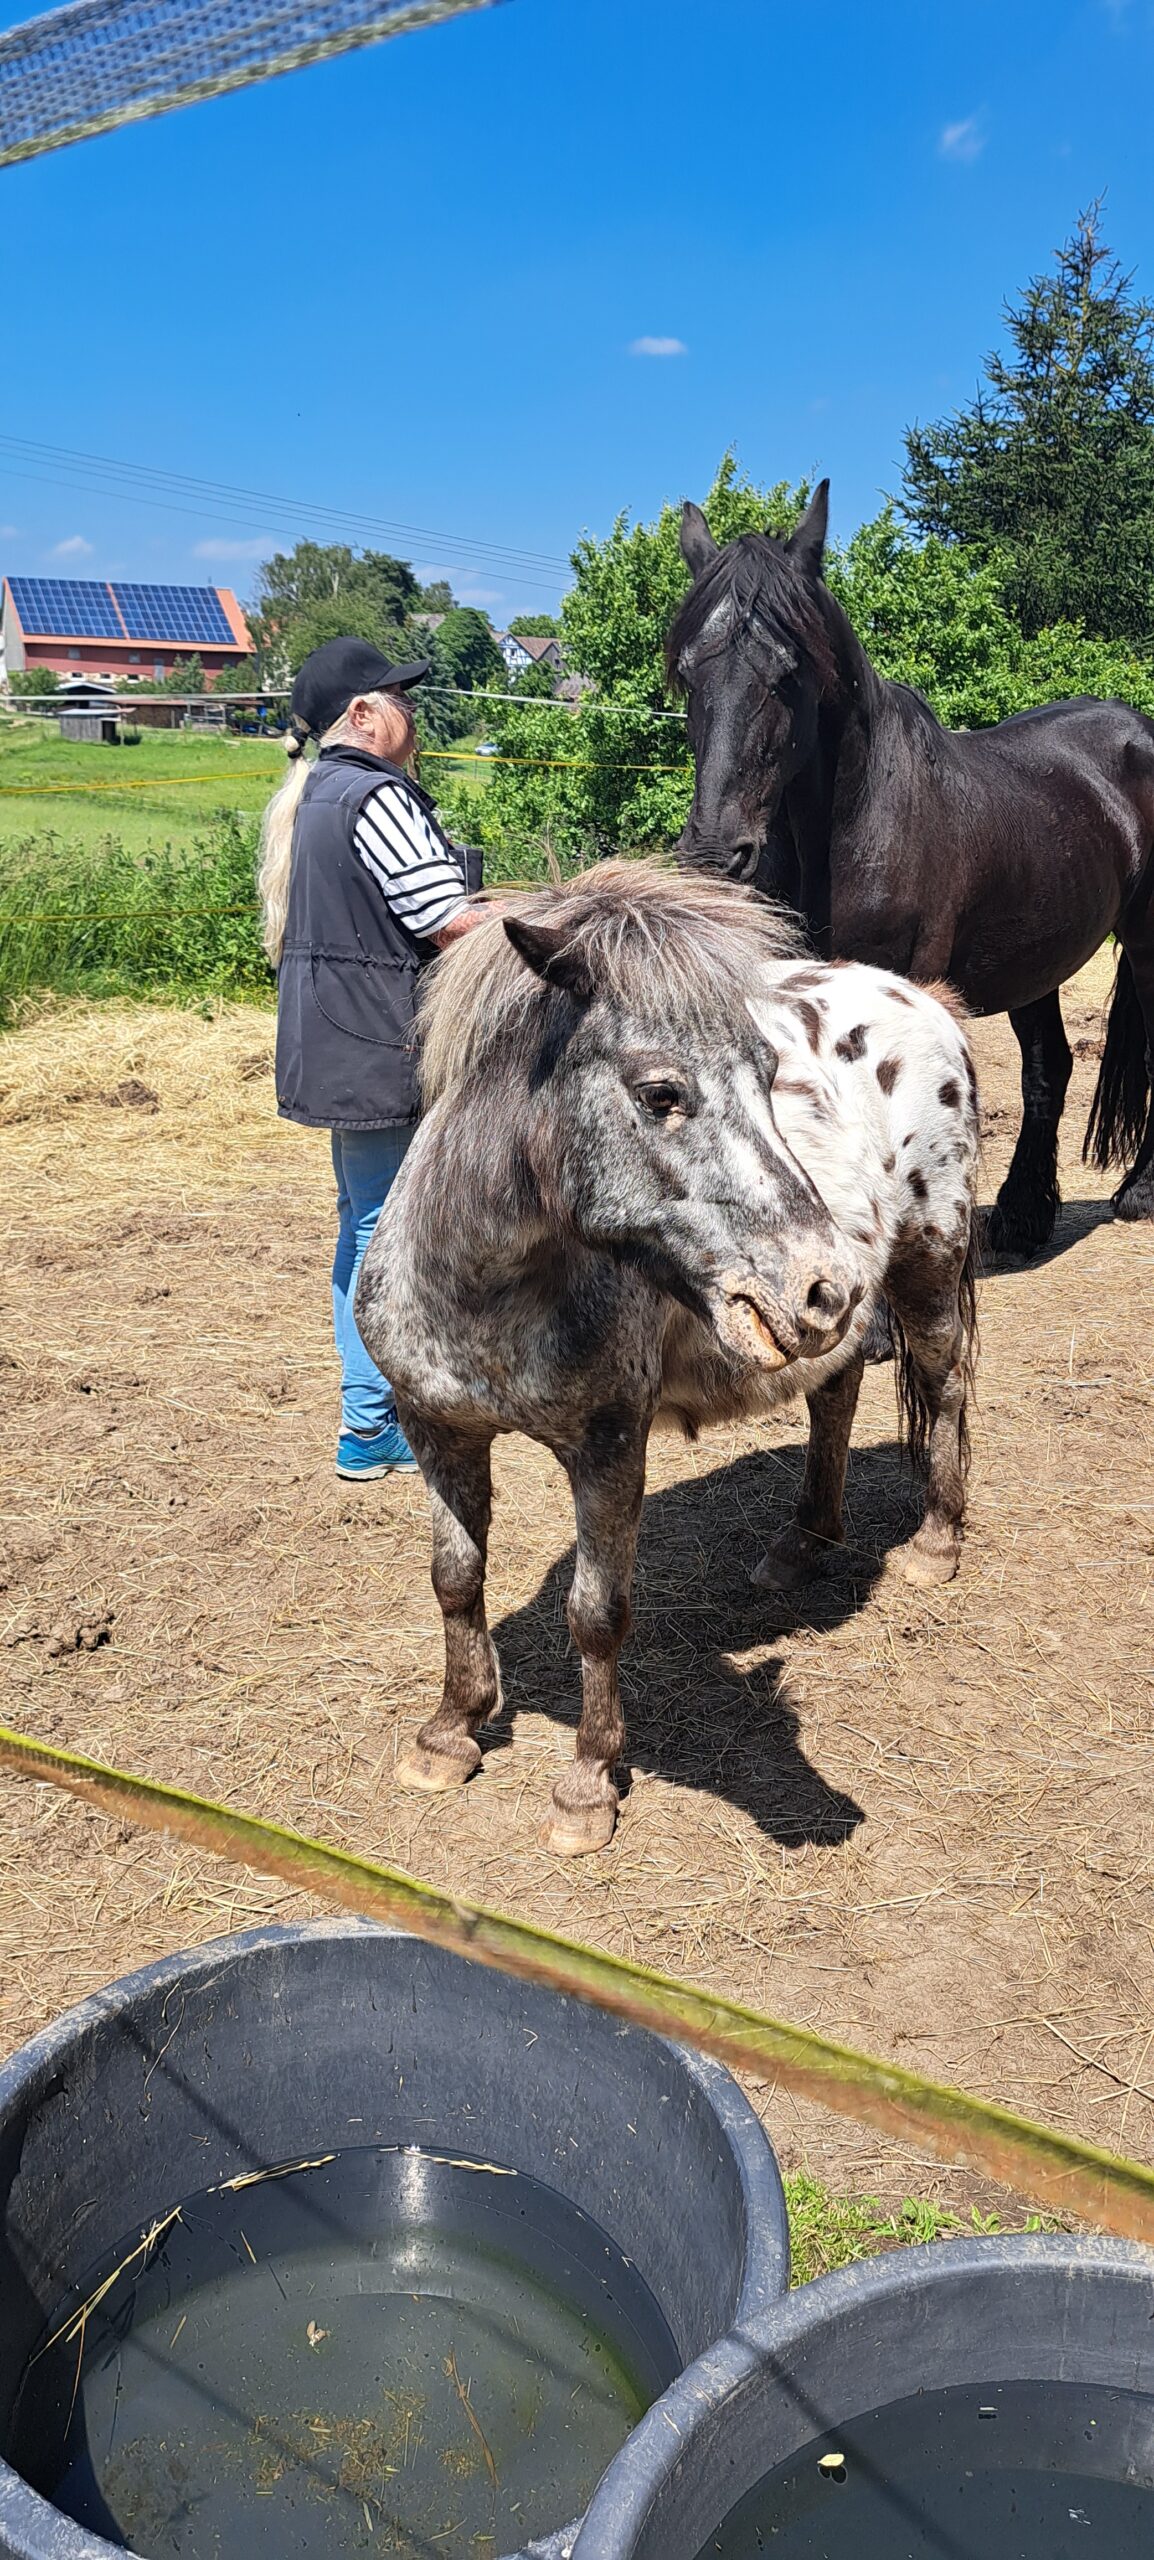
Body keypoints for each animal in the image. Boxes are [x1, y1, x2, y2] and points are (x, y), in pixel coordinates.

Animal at [356, 864, 980, 1858]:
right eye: (659, 1094)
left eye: (769, 1078)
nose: (827, 1283)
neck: (485, 1289)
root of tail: (926, 1001)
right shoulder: (436, 1429)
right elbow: (455, 1580)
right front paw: (449, 1732)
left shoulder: (610, 1447)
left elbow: (597, 1613)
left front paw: (586, 1786)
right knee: (835, 1394)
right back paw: (800, 1543)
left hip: (925, 1265)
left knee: (947, 1384)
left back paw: (936, 1542)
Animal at [668, 484, 1154, 1254]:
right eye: (687, 672)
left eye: (789, 673)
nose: (718, 852)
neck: (852, 828)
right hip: (1035, 958)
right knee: (1048, 1069)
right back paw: (1022, 1213)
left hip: (1145, 933)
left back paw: (1137, 1191)